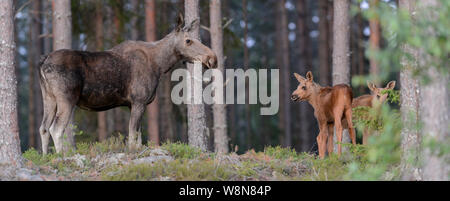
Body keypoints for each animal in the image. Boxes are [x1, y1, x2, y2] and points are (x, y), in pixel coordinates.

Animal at [37, 16, 217, 154]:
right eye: (188, 41)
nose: (212, 58)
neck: (160, 65)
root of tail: (43, 62)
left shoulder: (133, 104)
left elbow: (138, 136)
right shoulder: (139, 101)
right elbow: (132, 137)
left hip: (49, 98)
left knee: (43, 128)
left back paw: (45, 157)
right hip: (67, 99)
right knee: (56, 129)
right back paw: (61, 157)